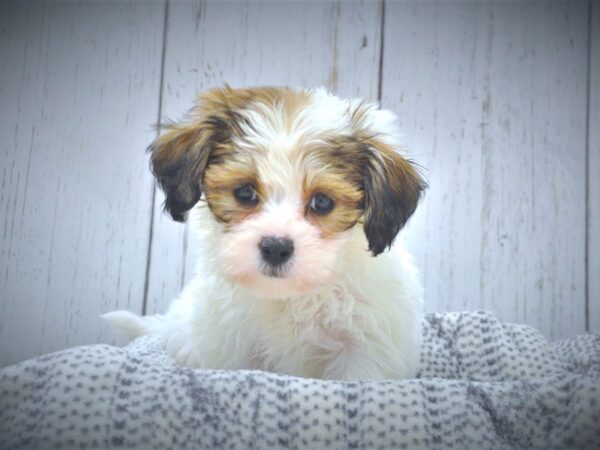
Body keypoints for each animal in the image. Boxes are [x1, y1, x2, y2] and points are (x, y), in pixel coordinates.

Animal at [102, 86, 426, 382]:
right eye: (244, 192)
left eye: (322, 202)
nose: (276, 247)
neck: (290, 296)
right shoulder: (233, 347)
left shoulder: (364, 347)